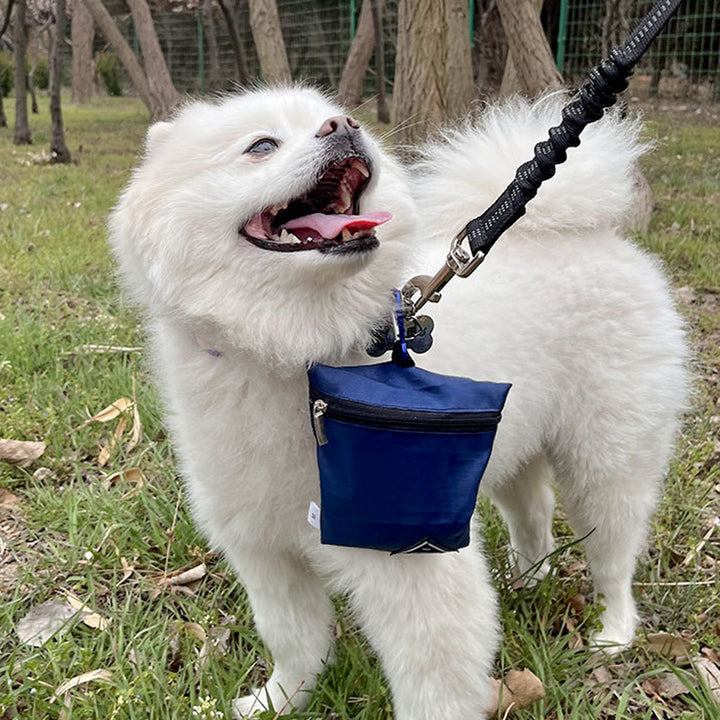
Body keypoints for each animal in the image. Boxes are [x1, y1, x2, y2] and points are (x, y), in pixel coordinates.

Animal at [109, 88, 688, 720]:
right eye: (261, 146)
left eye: (333, 118)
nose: (343, 125)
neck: (296, 355)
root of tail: (583, 233)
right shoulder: (265, 550)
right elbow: (294, 639)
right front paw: (278, 701)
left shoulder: (412, 564)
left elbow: (433, 681)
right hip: (510, 447)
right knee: (534, 515)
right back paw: (530, 580)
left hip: (605, 461)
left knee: (613, 553)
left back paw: (613, 631)